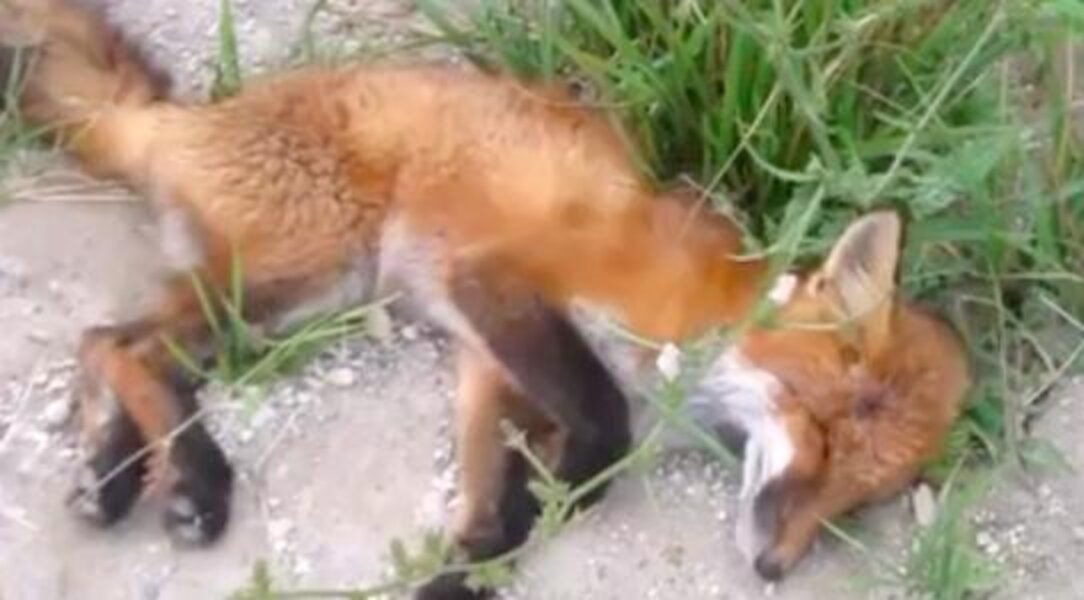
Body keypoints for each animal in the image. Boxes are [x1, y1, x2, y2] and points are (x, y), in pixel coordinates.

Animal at [0, 0, 971, 598]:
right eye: (824, 435)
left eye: (858, 500)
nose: (774, 567)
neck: (694, 335)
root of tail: (186, 117)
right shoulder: (497, 285)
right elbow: (603, 431)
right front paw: (529, 513)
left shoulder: (486, 364)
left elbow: (493, 501)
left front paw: (469, 559)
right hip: (300, 281)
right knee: (124, 345)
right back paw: (193, 480)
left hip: (271, 301)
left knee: (120, 346)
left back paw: (115, 478)